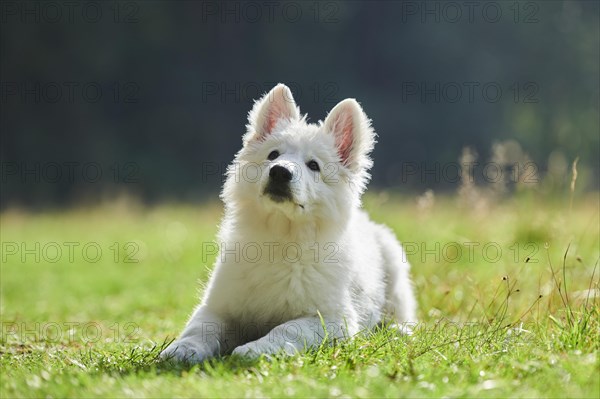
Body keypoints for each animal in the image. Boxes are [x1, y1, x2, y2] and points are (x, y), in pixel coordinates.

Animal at [162, 84, 420, 366]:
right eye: (273, 155)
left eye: (313, 165)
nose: (280, 172)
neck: (281, 236)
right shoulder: (218, 306)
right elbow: (200, 327)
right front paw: (183, 348)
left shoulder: (332, 318)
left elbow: (287, 328)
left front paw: (254, 349)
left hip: (395, 269)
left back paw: (398, 330)